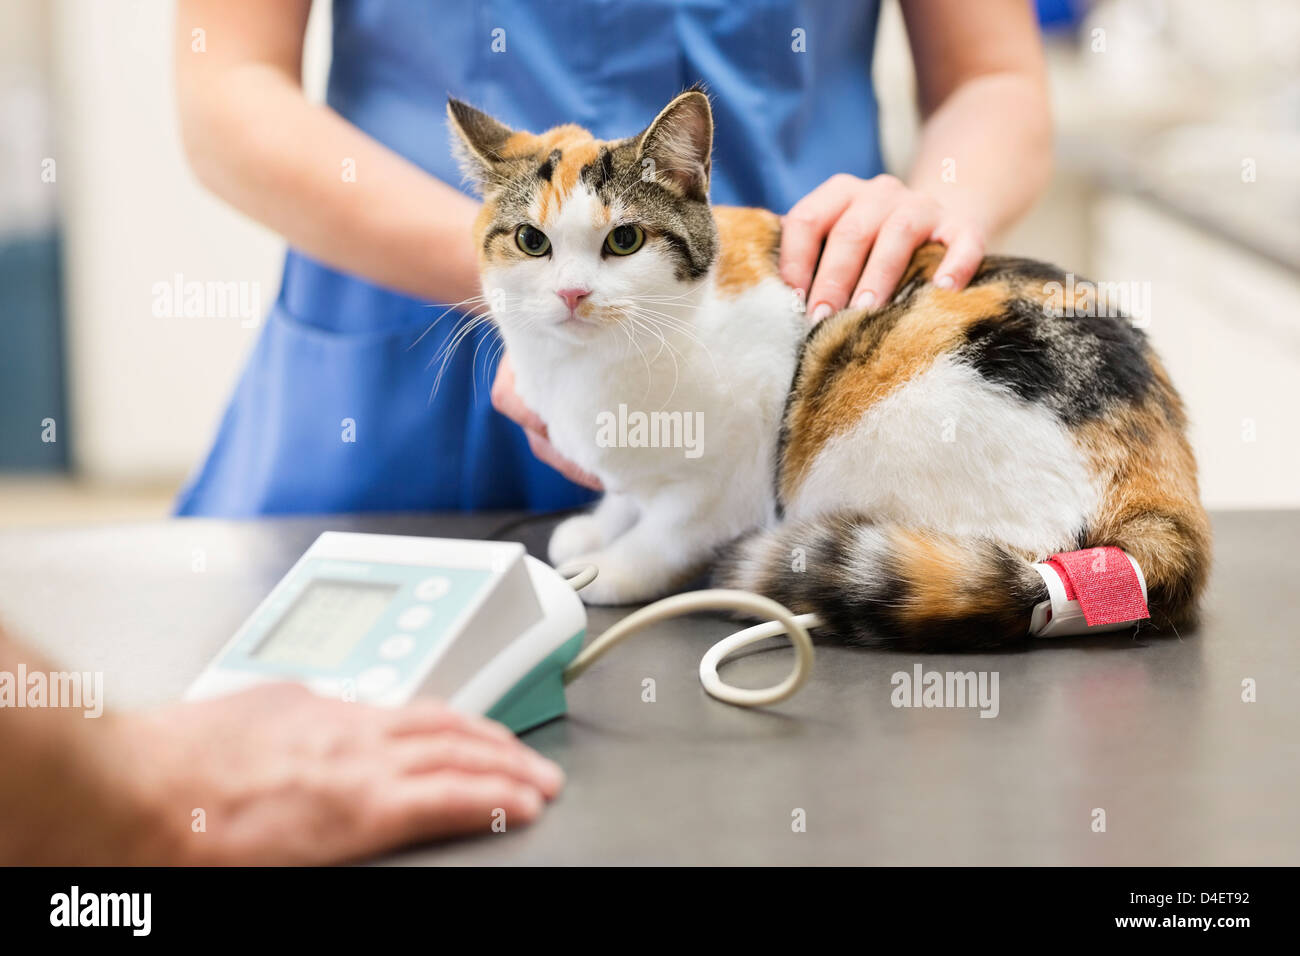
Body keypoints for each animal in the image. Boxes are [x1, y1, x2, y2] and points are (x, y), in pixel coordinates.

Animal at [447, 87, 1206, 650]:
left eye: (625, 240)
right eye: (531, 241)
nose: (572, 294)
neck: (597, 368)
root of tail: (1162, 485)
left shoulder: (735, 469)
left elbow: (669, 531)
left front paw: (610, 566)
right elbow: (629, 495)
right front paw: (599, 524)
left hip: (865, 441)